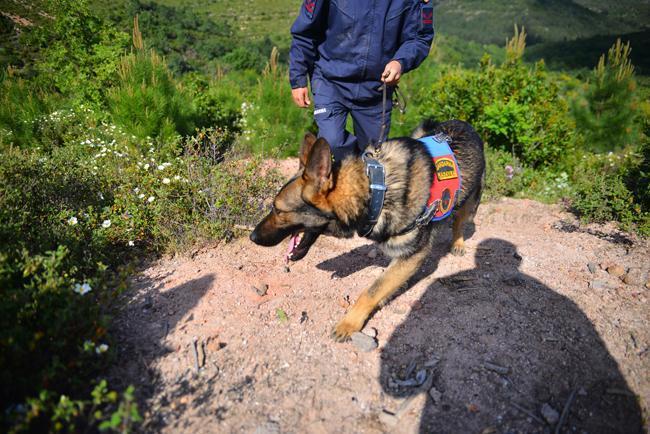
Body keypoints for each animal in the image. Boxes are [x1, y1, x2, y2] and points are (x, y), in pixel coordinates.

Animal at [251, 120, 484, 340]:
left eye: (278, 210)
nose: (252, 237)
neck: (375, 191)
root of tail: (464, 124)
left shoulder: (411, 256)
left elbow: (371, 292)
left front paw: (349, 323)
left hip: (470, 200)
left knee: (460, 221)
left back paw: (458, 243)